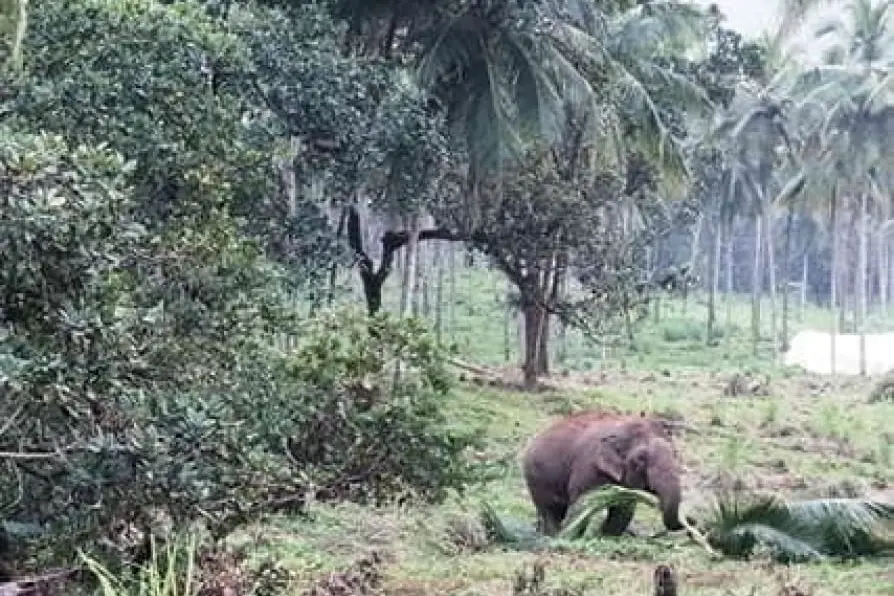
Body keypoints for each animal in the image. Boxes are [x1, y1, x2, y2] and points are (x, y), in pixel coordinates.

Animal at [521, 410, 684, 536]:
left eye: (675, 454)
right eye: (641, 459)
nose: (687, 521)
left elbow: (624, 509)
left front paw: (604, 536)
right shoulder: (589, 467)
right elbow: (582, 503)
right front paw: (573, 536)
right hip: (535, 478)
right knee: (550, 510)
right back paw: (552, 536)